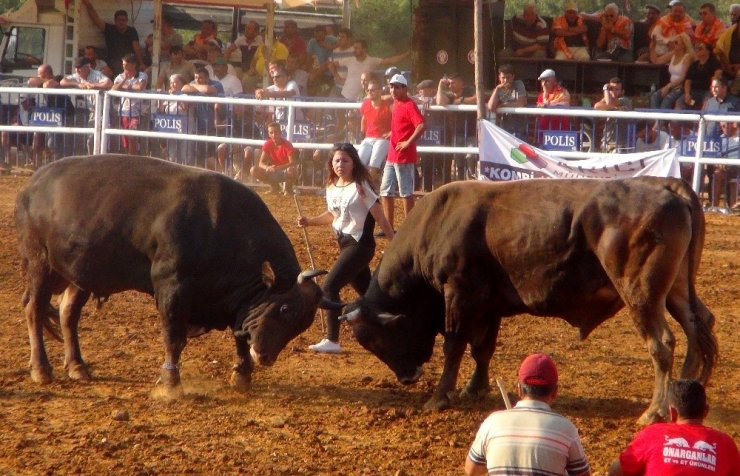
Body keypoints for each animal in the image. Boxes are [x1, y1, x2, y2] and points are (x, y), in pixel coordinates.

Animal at [15, 154, 342, 392]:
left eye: (303, 322)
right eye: (285, 309)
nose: (265, 357)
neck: (221, 227)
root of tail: (31, 186)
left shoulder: (235, 302)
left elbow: (239, 334)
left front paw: (241, 375)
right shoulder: (172, 288)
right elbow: (174, 338)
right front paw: (170, 382)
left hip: (78, 275)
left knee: (67, 313)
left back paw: (77, 366)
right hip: (40, 264)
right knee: (35, 309)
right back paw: (41, 369)